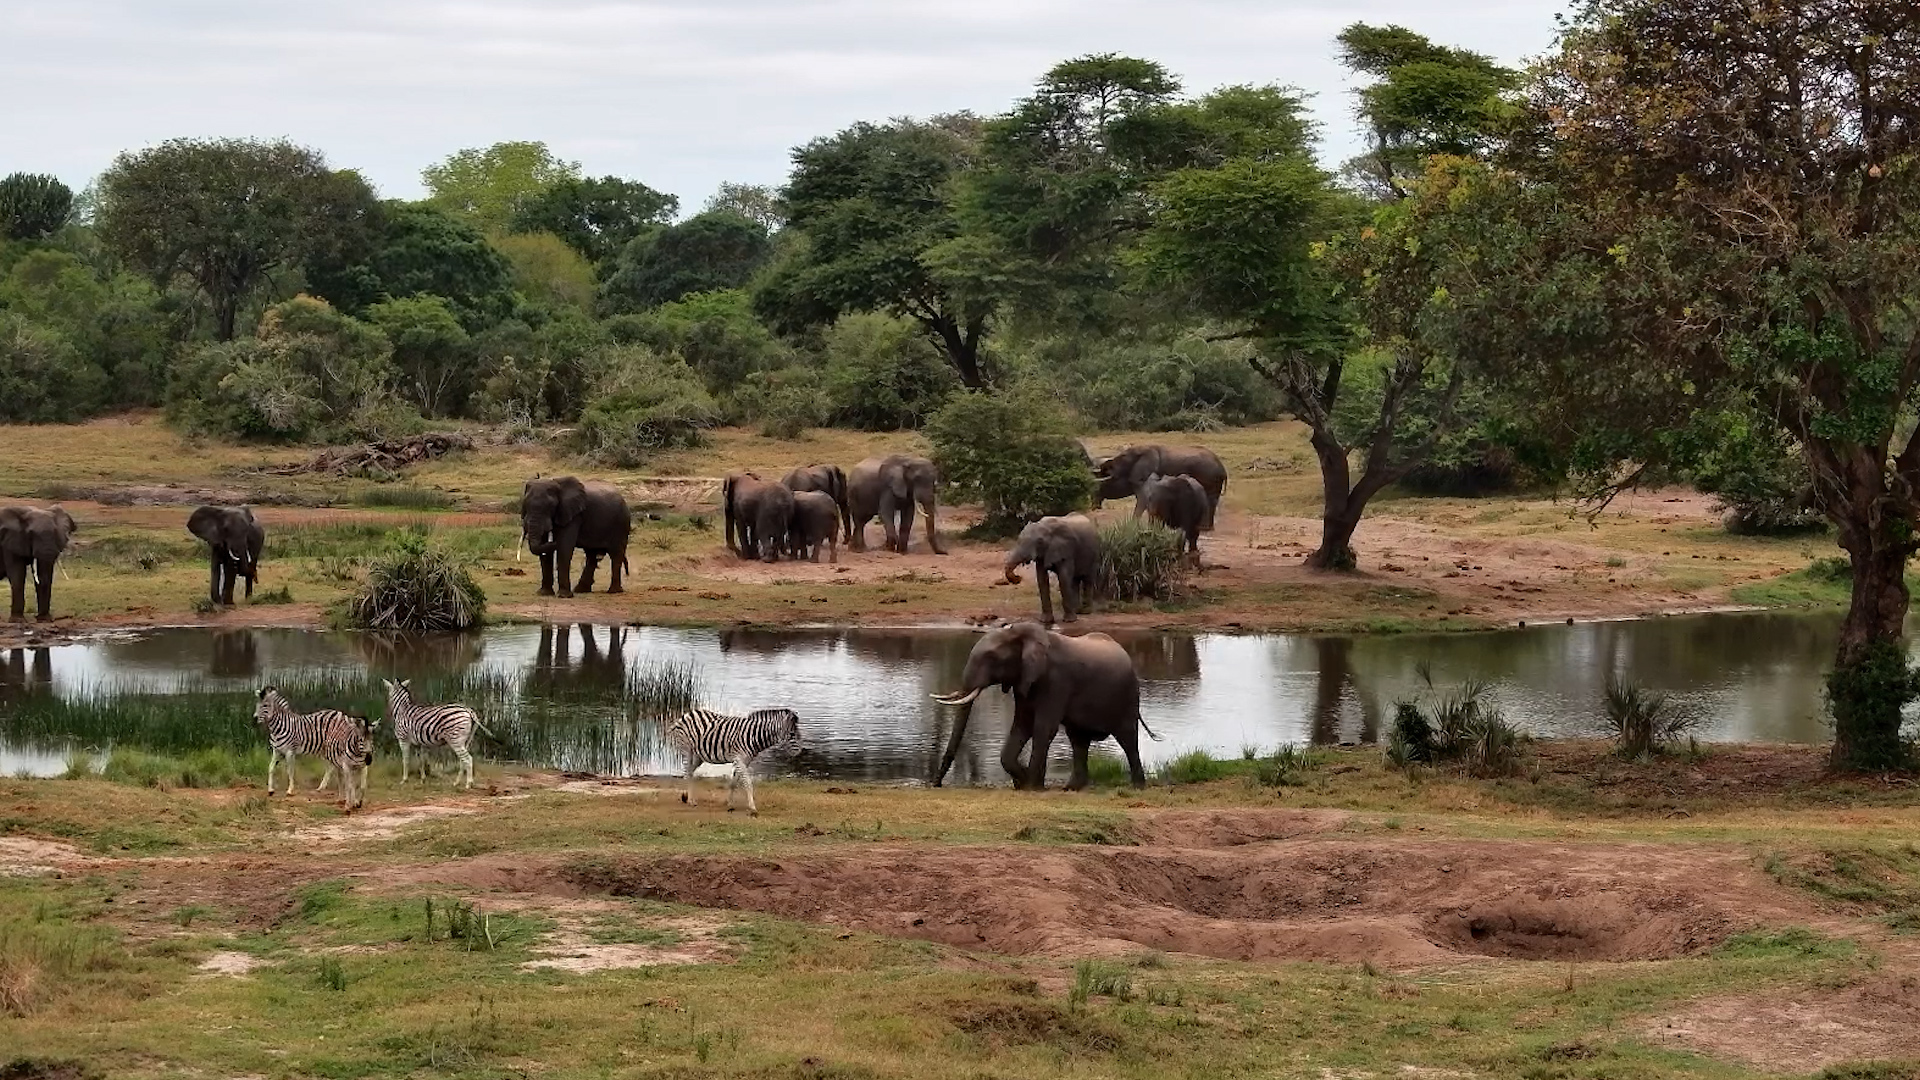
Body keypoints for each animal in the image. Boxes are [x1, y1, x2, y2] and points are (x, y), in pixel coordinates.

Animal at [665, 707, 801, 816]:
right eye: (792, 734)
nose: (799, 752)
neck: (753, 736)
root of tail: (687, 713)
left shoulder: (744, 761)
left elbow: (734, 782)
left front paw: (730, 804)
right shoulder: (739, 759)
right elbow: (747, 783)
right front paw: (752, 808)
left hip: (699, 755)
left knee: (691, 771)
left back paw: (688, 797)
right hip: (687, 750)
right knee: (687, 772)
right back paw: (690, 801)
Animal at [930, 620, 1155, 790]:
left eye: (991, 658)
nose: (936, 784)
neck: (1021, 633)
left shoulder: (1057, 680)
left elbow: (1043, 727)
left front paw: (1030, 785)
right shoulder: (1023, 681)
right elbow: (1022, 726)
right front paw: (1024, 782)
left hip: (1128, 696)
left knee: (1127, 739)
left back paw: (1138, 786)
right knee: (1078, 740)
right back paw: (1072, 788)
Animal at [1094, 444, 1227, 529]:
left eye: (1123, 457)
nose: (1096, 507)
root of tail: (1222, 469)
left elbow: (1143, 499)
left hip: (1209, 477)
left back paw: (1204, 527)